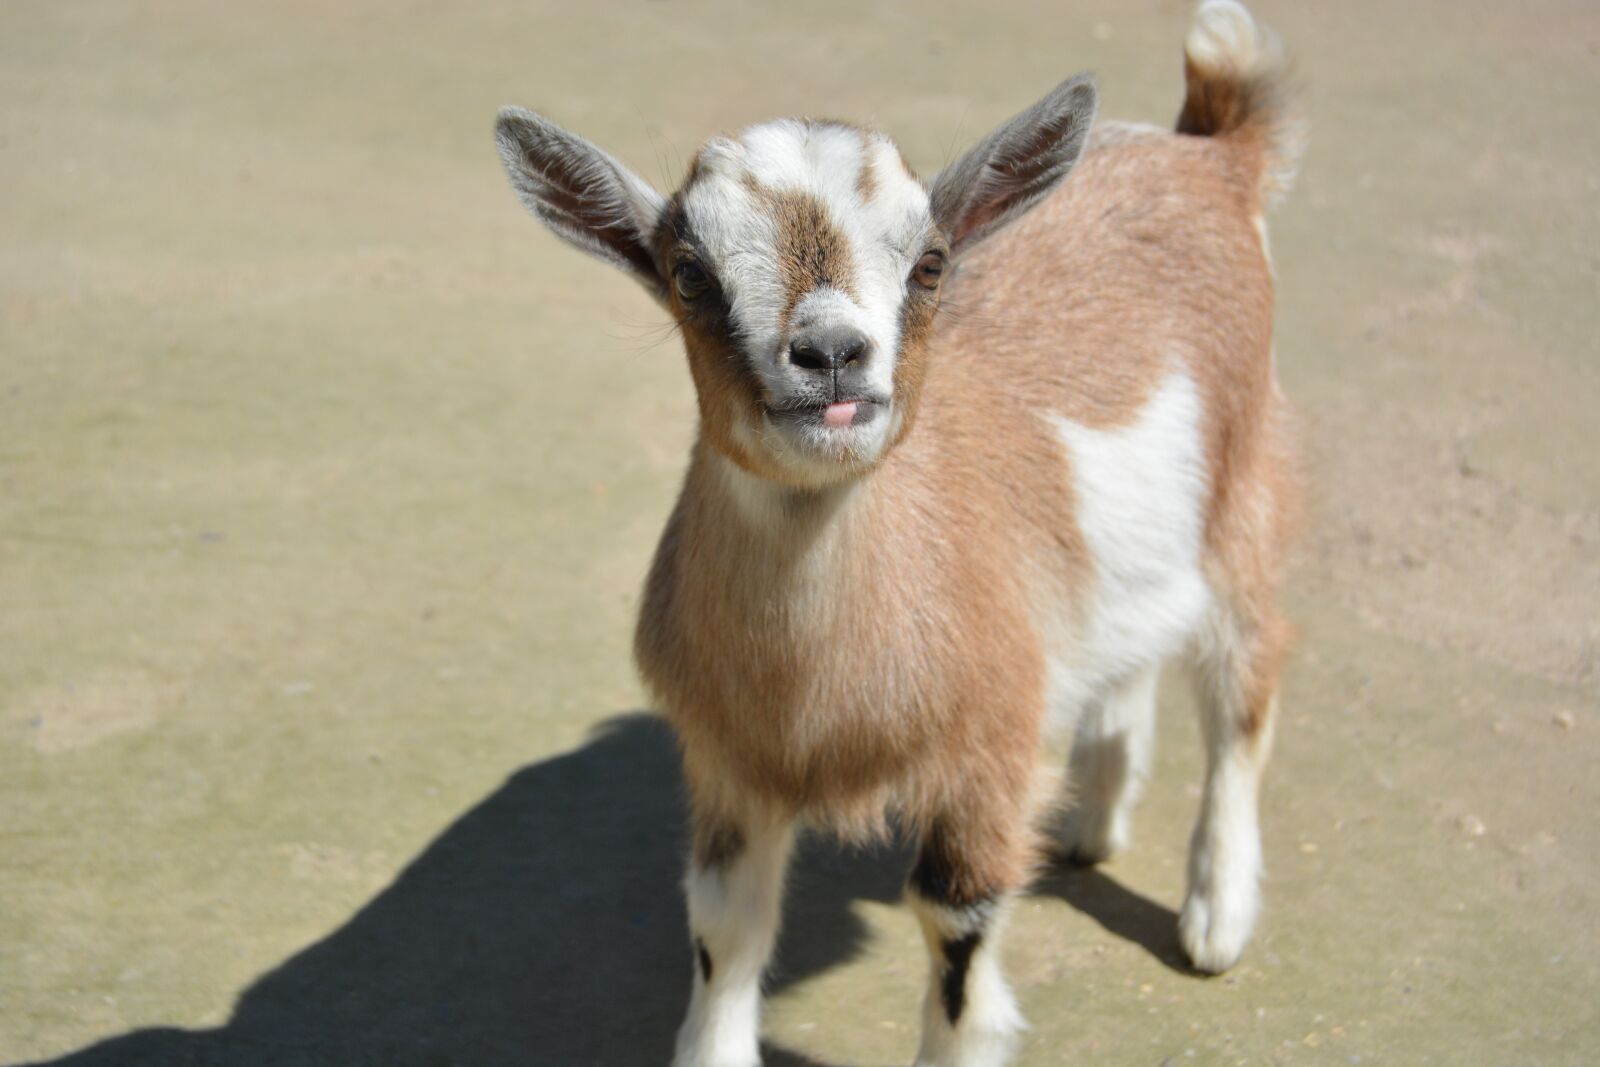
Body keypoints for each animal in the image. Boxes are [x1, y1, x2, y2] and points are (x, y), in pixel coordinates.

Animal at [495, 2, 1302, 1063]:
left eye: (929, 262)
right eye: (688, 275)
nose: (833, 354)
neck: (816, 705)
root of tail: (1210, 149)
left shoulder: (986, 754)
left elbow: (955, 927)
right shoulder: (727, 761)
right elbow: (723, 923)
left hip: (1246, 492)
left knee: (1243, 686)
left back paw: (1215, 916)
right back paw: (1093, 816)